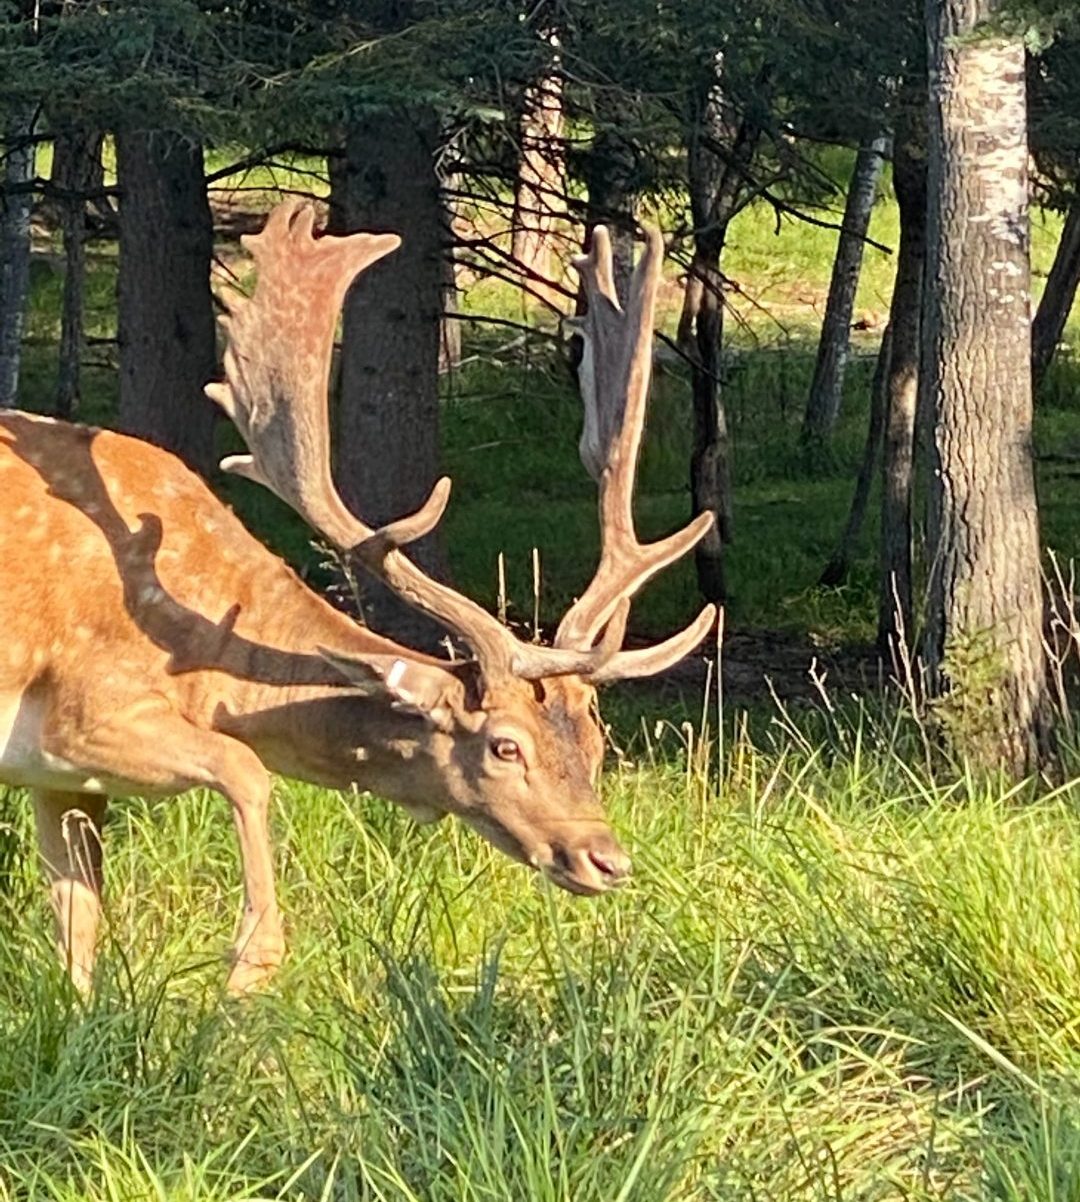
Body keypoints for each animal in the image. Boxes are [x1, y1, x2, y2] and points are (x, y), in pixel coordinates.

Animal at [0, 200, 715, 995]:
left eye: (595, 741)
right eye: (505, 746)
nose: (606, 860)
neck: (201, 651)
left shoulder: (61, 778)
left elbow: (77, 936)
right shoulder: (87, 708)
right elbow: (247, 770)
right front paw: (252, 965)